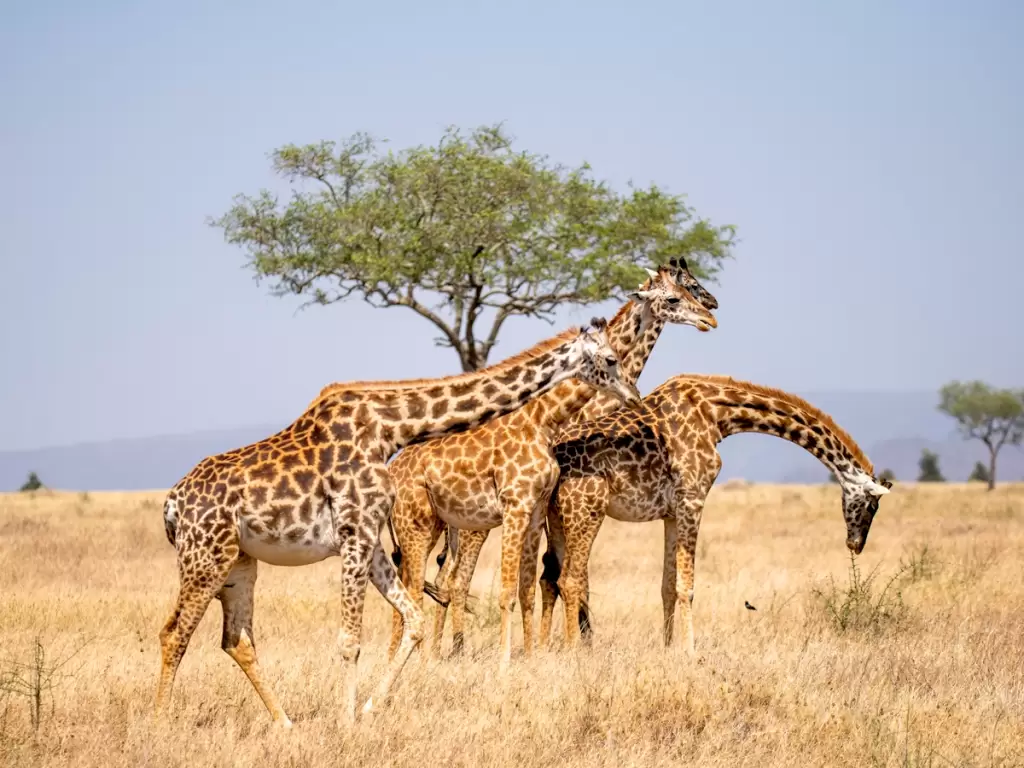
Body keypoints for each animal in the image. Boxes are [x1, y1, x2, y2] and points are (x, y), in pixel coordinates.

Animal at [154, 317, 640, 726]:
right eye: (610, 359)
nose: (633, 394)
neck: (390, 430)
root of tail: (173, 504)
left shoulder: (368, 540)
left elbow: (415, 621)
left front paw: (369, 708)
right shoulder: (354, 533)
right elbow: (350, 641)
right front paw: (347, 721)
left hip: (238, 562)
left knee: (236, 640)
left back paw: (286, 724)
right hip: (204, 558)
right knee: (173, 633)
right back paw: (161, 723)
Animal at [387, 259, 719, 668]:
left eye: (691, 287)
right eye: (678, 293)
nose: (710, 313)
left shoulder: (543, 508)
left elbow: (541, 580)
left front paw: (544, 650)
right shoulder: (542, 505)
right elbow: (555, 578)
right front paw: (562, 647)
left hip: (441, 525)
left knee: (429, 581)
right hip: (449, 526)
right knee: (442, 582)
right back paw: (437, 653)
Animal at [535, 374, 893, 652]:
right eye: (872, 505)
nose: (855, 544)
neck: (718, 415)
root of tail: (555, 460)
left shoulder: (671, 512)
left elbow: (667, 585)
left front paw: (668, 649)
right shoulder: (693, 498)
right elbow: (687, 587)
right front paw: (691, 653)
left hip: (556, 517)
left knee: (549, 577)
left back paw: (541, 648)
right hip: (587, 510)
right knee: (570, 580)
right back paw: (572, 652)